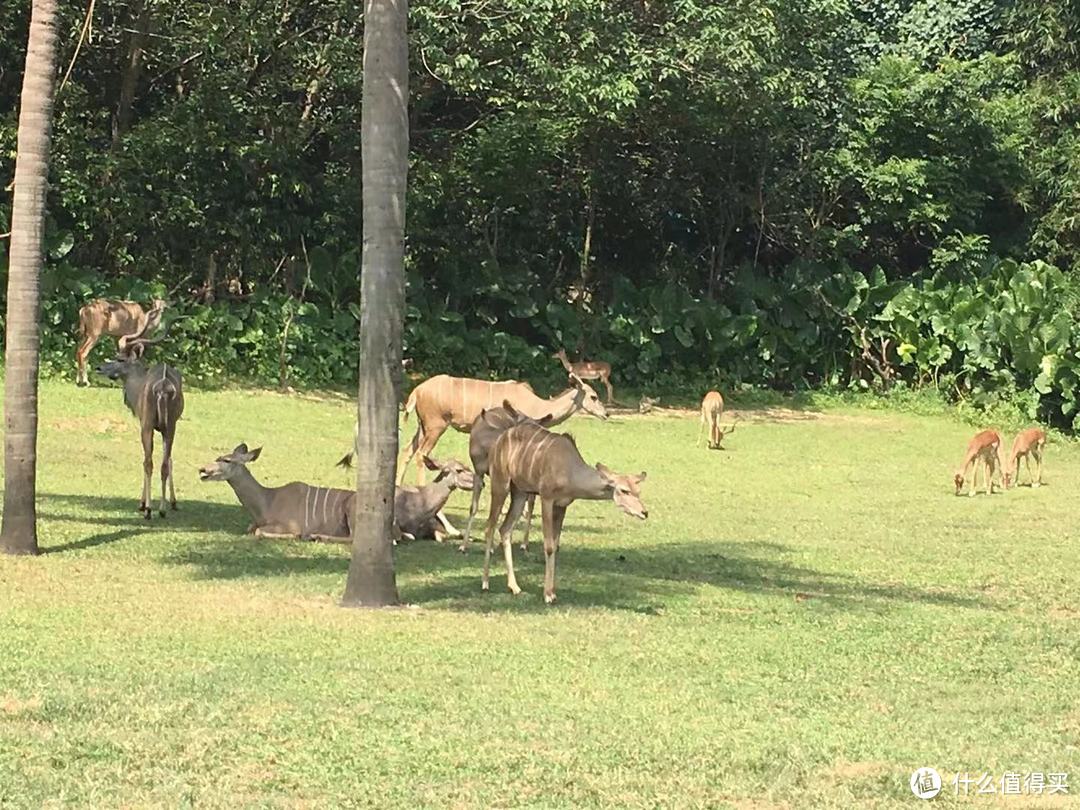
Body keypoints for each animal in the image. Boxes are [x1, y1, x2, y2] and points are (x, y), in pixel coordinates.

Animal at [399, 371, 609, 486]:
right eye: (593, 396)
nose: (606, 414)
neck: (538, 406)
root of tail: (417, 391)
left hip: (423, 426)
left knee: (407, 450)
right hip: (436, 426)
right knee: (421, 454)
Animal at [483, 425, 648, 604]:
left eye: (638, 491)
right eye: (624, 490)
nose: (644, 512)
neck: (569, 469)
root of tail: (499, 440)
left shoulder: (562, 505)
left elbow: (555, 545)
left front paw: (553, 592)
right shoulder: (547, 498)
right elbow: (548, 546)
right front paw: (548, 595)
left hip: (520, 492)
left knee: (505, 529)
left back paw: (515, 587)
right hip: (501, 484)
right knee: (490, 527)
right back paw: (485, 583)